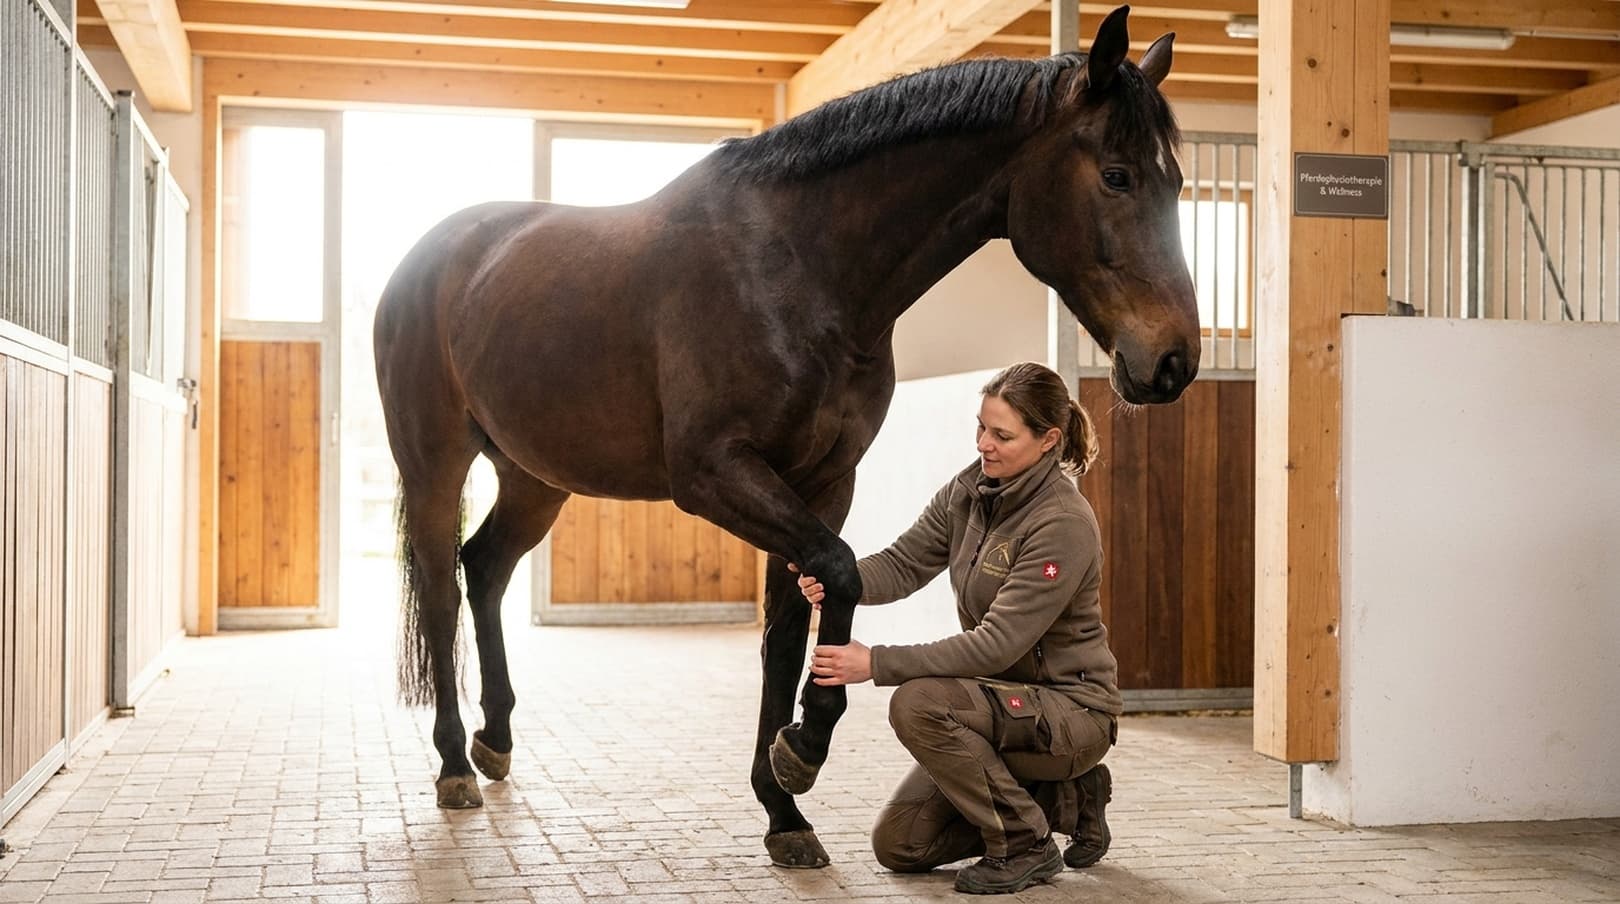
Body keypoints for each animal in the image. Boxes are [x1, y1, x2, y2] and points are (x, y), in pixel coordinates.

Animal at [373, 5, 1198, 869]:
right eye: (1117, 175)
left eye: (1176, 181)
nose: (1174, 361)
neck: (800, 271)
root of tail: (430, 258)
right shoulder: (717, 474)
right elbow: (836, 575)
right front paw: (803, 748)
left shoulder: (822, 483)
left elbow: (790, 624)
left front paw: (783, 806)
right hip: (434, 462)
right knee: (439, 586)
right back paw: (453, 765)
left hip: (536, 478)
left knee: (484, 568)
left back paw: (495, 742)